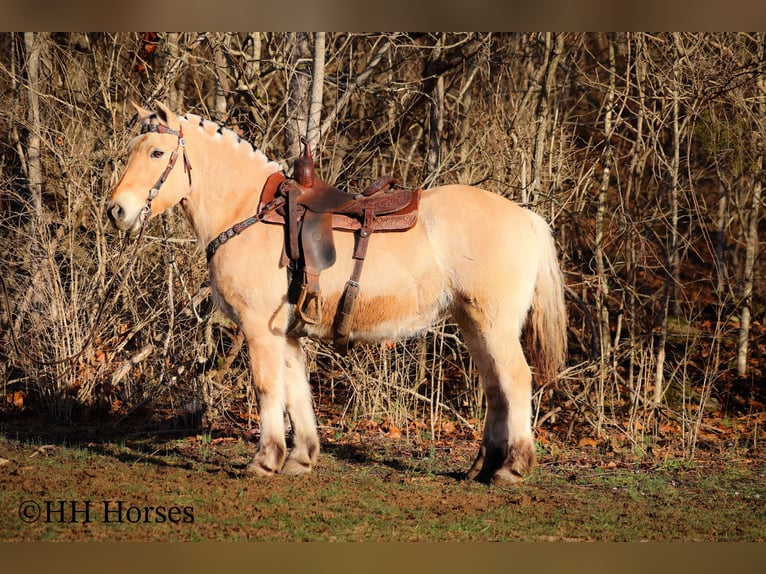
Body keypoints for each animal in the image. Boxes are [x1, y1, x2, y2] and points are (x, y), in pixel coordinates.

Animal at [105, 102, 568, 486]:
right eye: (131, 149)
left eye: (156, 153)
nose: (117, 211)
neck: (248, 213)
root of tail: (525, 216)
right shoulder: (285, 332)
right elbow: (296, 390)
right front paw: (300, 458)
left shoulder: (259, 329)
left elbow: (268, 388)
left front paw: (265, 460)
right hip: (474, 324)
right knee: (494, 386)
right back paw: (481, 466)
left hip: (494, 324)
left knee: (516, 379)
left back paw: (511, 468)